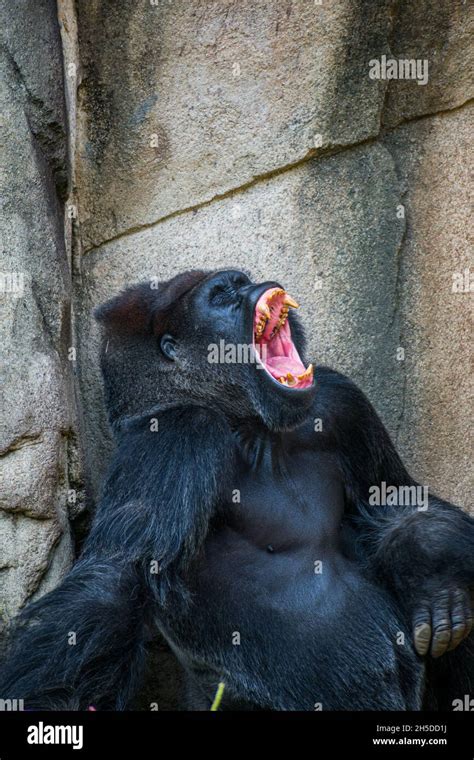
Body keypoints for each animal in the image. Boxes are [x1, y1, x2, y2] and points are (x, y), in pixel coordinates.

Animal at [0, 270, 474, 708]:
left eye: (241, 280)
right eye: (222, 294)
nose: (253, 286)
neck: (245, 422)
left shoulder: (339, 403)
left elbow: (395, 499)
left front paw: (431, 571)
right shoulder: (175, 436)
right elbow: (113, 582)